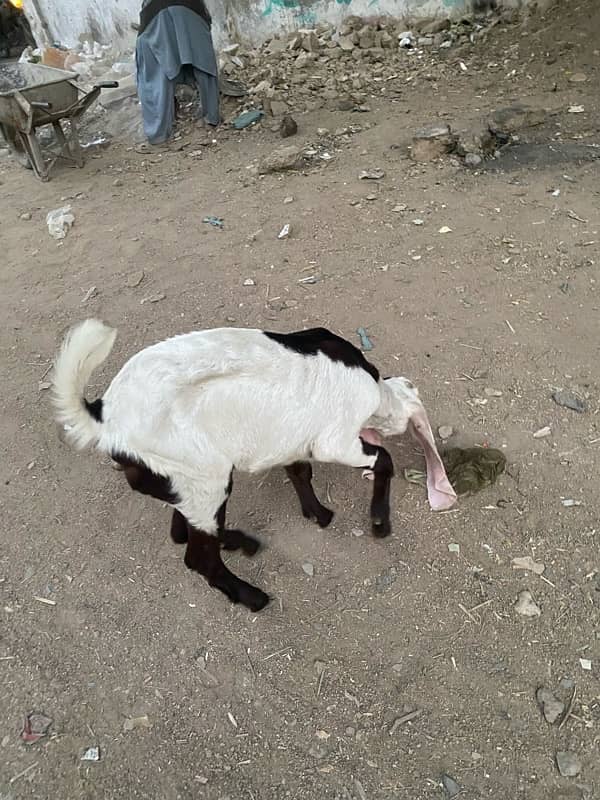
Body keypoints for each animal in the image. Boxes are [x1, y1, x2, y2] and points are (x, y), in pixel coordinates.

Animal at [52, 322, 454, 608]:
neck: (376, 388)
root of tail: (104, 416)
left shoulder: (292, 440)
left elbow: (299, 471)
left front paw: (317, 513)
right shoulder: (335, 442)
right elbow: (382, 460)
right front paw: (379, 521)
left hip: (183, 479)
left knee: (184, 529)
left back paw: (237, 541)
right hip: (207, 477)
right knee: (197, 557)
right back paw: (251, 596)